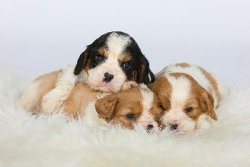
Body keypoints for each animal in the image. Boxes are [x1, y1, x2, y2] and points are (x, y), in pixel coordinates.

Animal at [20, 30, 154, 113]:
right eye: (98, 57)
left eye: (126, 65)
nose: (108, 76)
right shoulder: (75, 70)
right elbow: (68, 79)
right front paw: (51, 101)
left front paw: (128, 84)